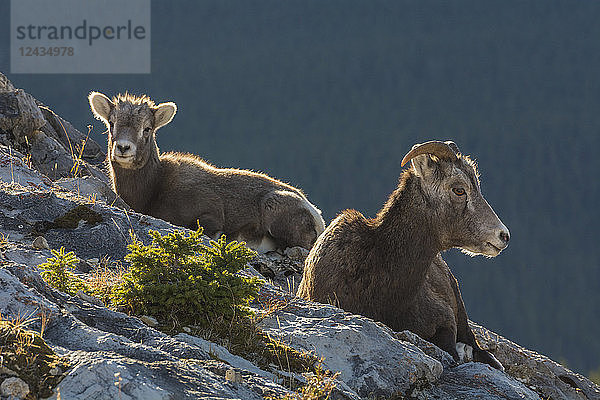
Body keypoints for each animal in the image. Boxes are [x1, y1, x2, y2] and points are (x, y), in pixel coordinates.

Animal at [88, 92, 324, 252]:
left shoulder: (210, 212)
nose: (123, 148)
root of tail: (316, 214)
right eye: (111, 123)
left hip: (274, 206)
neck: (153, 189)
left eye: (147, 129)